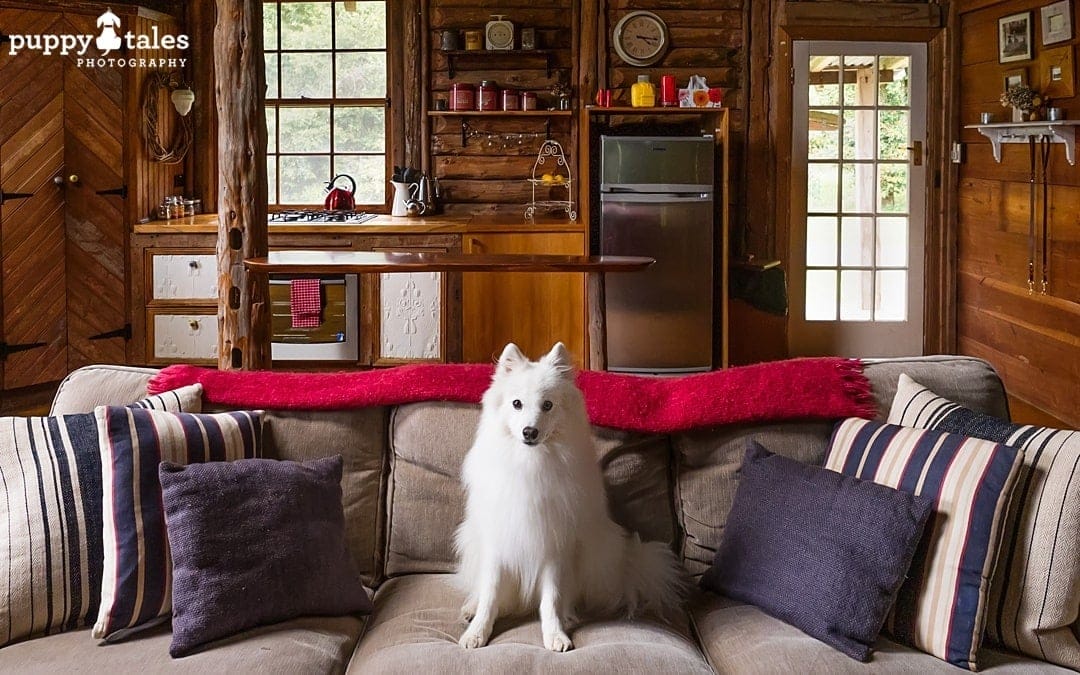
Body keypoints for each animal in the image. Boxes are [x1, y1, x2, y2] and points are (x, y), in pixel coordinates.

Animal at [455, 341, 682, 648]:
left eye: (547, 405)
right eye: (517, 403)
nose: (530, 431)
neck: (531, 463)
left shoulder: (556, 545)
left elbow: (551, 598)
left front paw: (555, 634)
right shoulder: (498, 541)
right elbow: (490, 593)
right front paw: (477, 632)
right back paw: (470, 607)